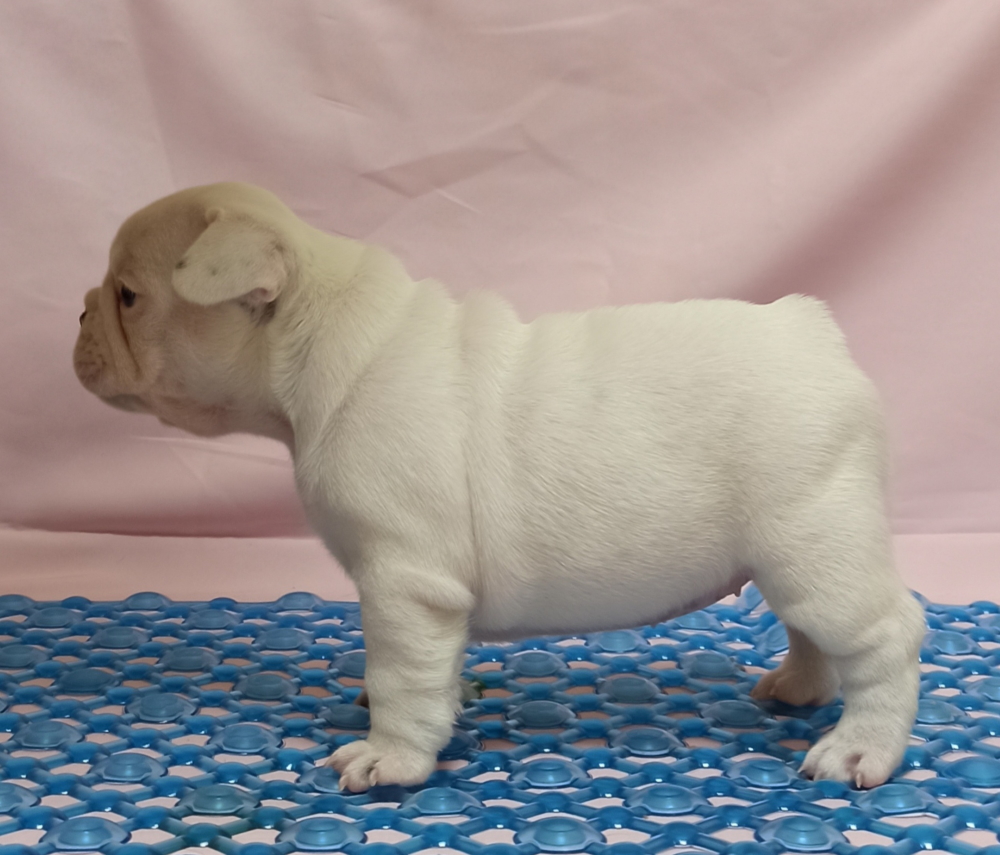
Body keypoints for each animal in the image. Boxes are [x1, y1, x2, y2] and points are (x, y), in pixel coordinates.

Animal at [74, 182, 925, 791]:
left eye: (129, 295)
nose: (79, 311)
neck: (316, 338)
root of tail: (809, 330)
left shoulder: (404, 582)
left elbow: (399, 674)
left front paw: (391, 756)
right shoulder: (423, 598)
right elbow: (428, 671)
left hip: (815, 540)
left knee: (884, 637)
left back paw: (860, 747)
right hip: (798, 551)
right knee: (810, 630)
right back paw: (799, 689)